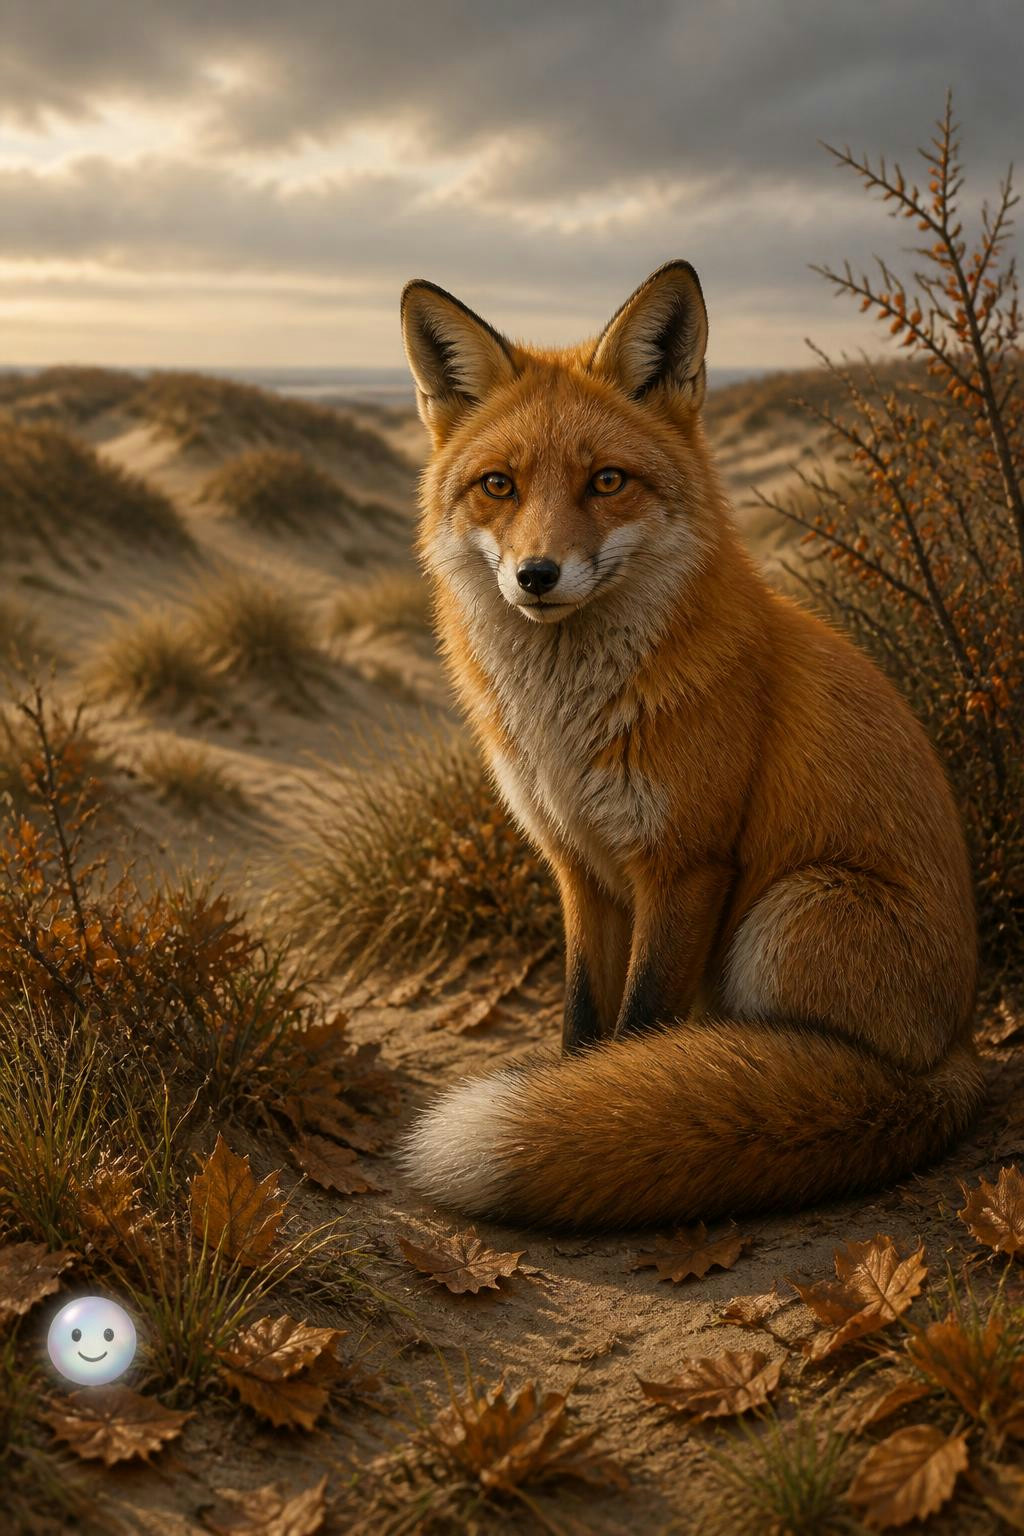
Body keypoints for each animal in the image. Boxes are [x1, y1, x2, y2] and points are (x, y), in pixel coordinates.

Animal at [396, 258, 984, 1230]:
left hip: (788, 914)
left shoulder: (686, 863)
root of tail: (960, 1053)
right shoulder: (578, 865)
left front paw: (613, 1115)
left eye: (606, 481)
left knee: (819, 1065)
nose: (536, 575)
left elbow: (639, 1031)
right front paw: (578, 1100)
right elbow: (583, 1026)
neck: (566, 726)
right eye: (498, 486)